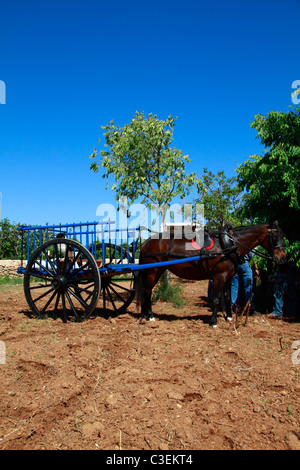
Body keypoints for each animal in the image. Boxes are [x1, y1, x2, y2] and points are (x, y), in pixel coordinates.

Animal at [136, 223, 286, 326]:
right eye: (274, 237)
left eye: (282, 236)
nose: (283, 258)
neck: (227, 245)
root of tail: (145, 242)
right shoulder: (219, 277)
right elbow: (216, 299)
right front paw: (213, 321)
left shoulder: (229, 277)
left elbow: (227, 297)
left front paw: (229, 317)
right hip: (152, 271)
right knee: (148, 292)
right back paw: (150, 316)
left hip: (158, 271)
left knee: (146, 291)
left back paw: (146, 314)